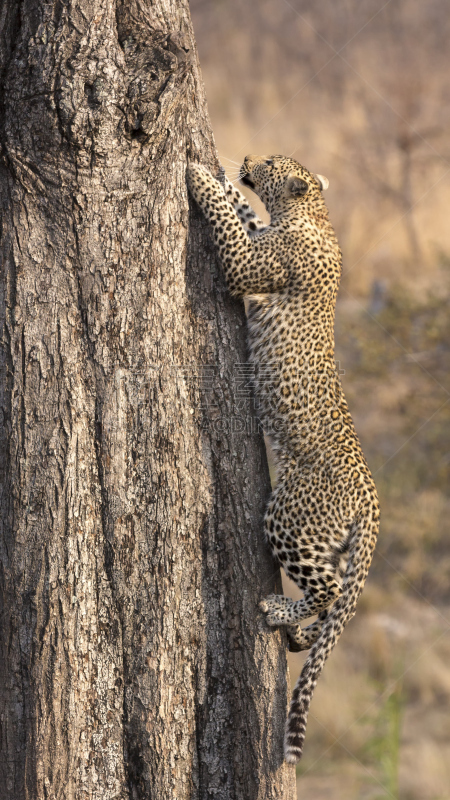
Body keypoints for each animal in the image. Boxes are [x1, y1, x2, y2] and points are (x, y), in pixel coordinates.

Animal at [186, 155, 380, 764]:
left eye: (273, 163)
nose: (251, 160)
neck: (313, 212)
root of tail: (371, 500)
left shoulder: (249, 266)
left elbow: (229, 224)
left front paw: (199, 173)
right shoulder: (260, 237)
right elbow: (243, 213)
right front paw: (223, 177)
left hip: (291, 518)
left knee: (329, 592)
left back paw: (278, 613)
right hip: (329, 541)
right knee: (336, 604)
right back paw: (300, 636)